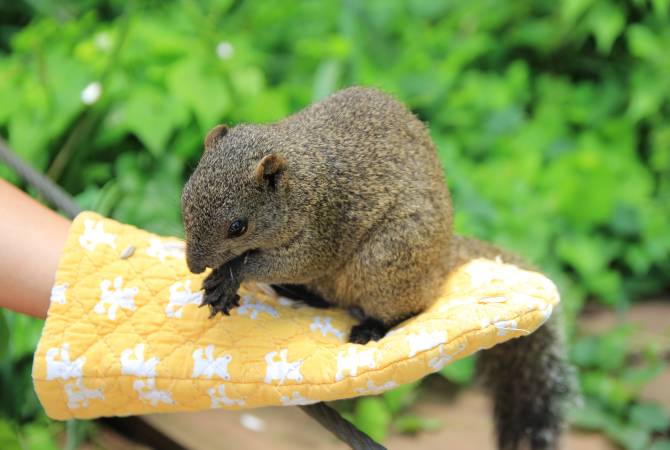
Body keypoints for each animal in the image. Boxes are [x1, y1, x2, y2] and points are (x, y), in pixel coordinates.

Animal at [181, 86, 576, 448]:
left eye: (238, 226)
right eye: (186, 196)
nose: (193, 265)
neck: (301, 181)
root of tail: (443, 259)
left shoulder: (322, 230)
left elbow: (279, 262)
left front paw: (229, 277)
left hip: (385, 260)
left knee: (406, 308)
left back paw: (371, 327)